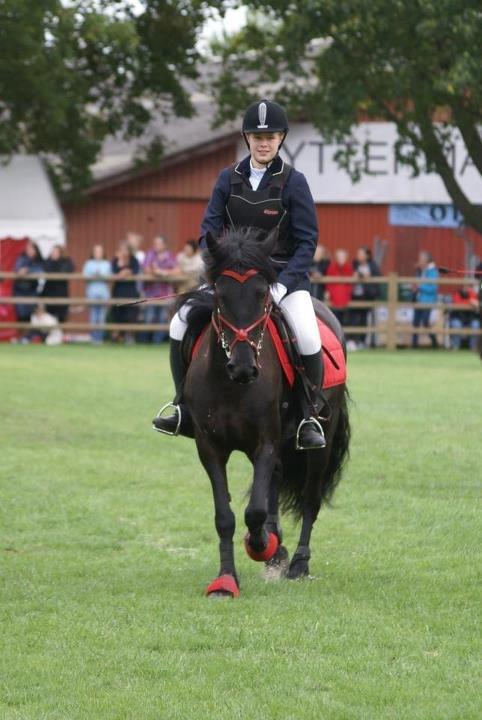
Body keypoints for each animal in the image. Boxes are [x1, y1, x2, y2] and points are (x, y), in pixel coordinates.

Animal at [179, 227, 350, 597]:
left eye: (262, 296)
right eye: (221, 295)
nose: (243, 368)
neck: (230, 385)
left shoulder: (265, 443)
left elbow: (254, 511)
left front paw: (260, 545)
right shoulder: (209, 447)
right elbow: (225, 516)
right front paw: (226, 579)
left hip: (322, 438)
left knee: (310, 500)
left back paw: (297, 562)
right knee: (275, 479)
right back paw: (278, 549)